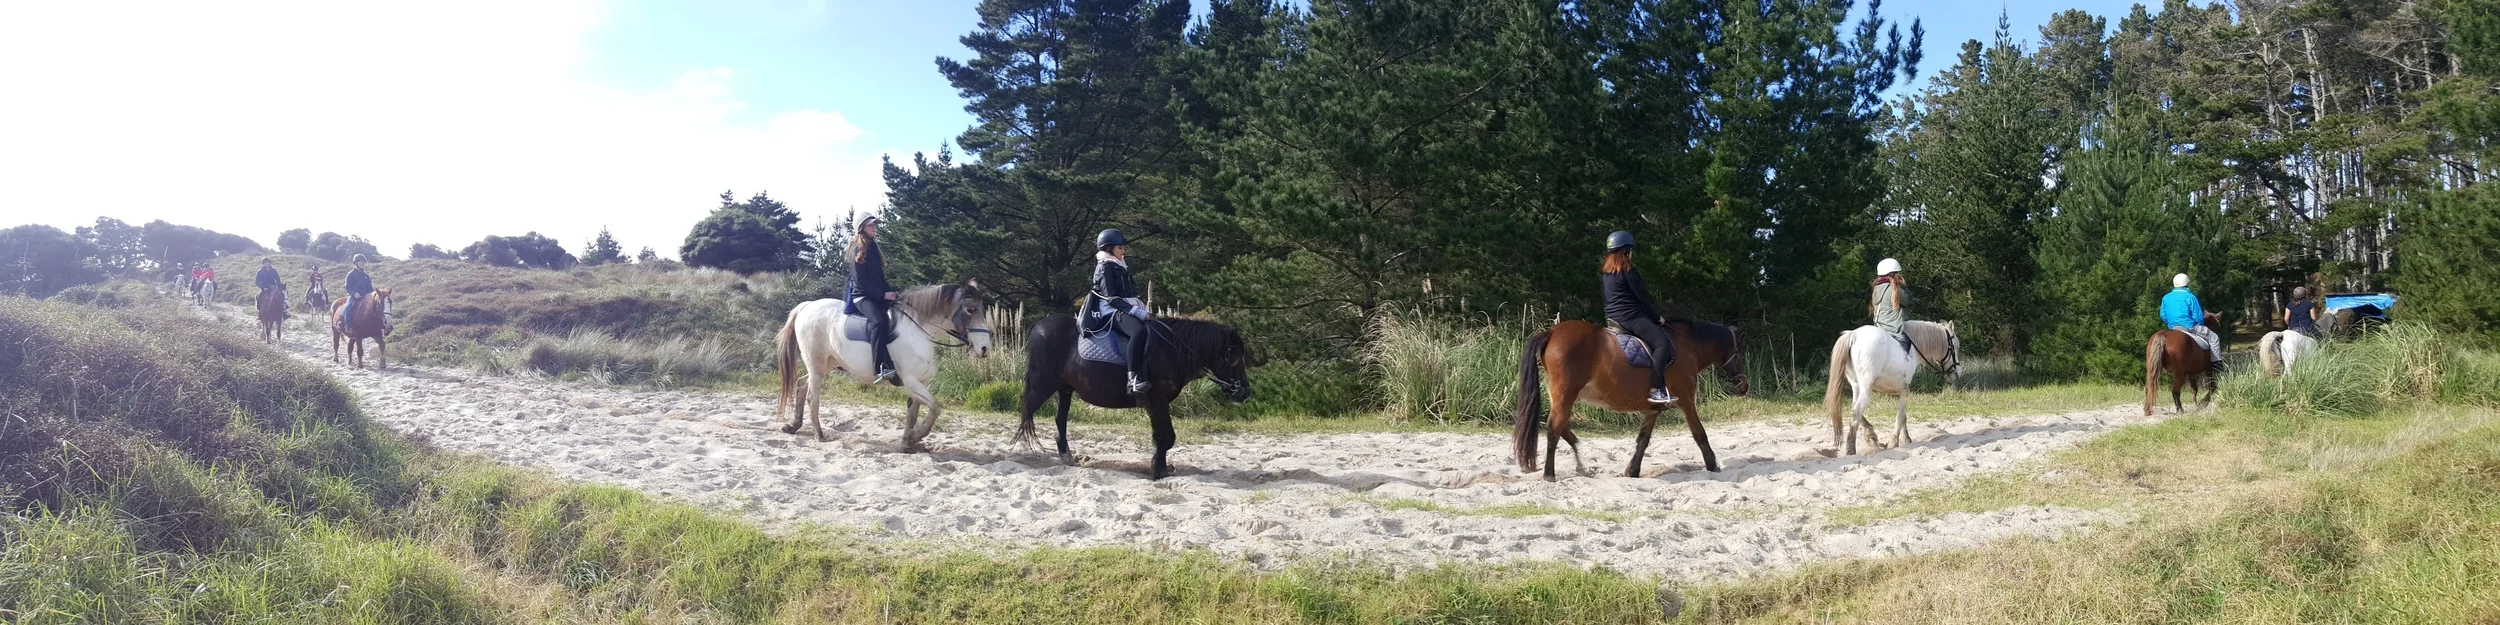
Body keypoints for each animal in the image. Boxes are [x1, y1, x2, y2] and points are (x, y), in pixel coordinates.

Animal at [775, 281, 993, 451]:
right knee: (813, 397)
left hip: (825, 365)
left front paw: (907, 442)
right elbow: (935, 407)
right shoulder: (911, 381)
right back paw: (819, 435)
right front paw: (915, 437)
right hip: (816, 365)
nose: (984, 348)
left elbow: (914, 413)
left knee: (801, 384)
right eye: (970, 310)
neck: (918, 332)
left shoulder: (921, 382)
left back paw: (793, 426)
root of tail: (807, 306)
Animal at [1013, 315, 1251, 480]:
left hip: (1065, 389)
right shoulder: (1157, 399)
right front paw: (1158, 471)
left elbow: (1162, 437)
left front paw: (1161, 468)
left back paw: (1066, 457)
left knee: (1059, 420)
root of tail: (1039, 327)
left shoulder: (1157, 403)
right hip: (1043, 384)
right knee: (1027, 414)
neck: (1171, 351)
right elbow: (1166, 437)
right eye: (1236, 359)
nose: (1244, 393)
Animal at [1511, 319, 1751, 481]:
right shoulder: (1686, 400)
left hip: (1560, 396)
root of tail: (1552, 332)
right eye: (1738, 351)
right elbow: (1699, 434)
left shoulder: (1654, 408)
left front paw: (1632, 471)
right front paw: (1713, 466)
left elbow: (1643, 440)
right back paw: (1549, 474)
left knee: (1558, 426)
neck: (1686, 347)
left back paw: (1579, 460)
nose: (1744, 385)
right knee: (1553, 428)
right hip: (1565, 394)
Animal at [1821, 320, 1964, 455]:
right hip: (1866, 388)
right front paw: (1895, 442)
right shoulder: (1904, 391)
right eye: (1955, 346)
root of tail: (1853, 335)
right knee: (1856, 412)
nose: (1958, 373)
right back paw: (1851, 450)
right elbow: (1901, 416)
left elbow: (1903, 417)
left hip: (1856, 386)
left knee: (1854, 410)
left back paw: (1870, 436)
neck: (1913, 350)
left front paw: (1906, 440)